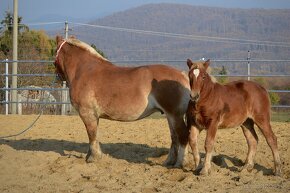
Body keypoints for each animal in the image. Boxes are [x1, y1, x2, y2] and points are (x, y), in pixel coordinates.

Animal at [53, 36, 190, 167]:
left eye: (55, 54)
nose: (58, 78)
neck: (84, 71)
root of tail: (182, 75)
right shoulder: (94, 116)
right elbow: (95, 135)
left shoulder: (87, 114)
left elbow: (91, 135)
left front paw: (93, 158)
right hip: (169, 115)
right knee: (174, 137)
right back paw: (169, 161)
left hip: (175, 115)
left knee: (183, 135)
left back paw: (180, 163)